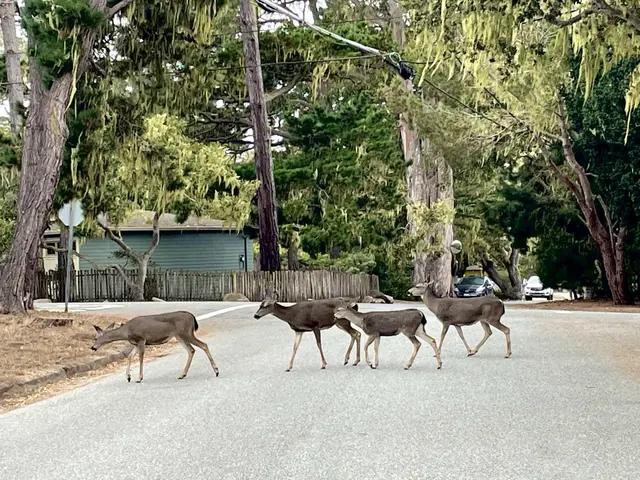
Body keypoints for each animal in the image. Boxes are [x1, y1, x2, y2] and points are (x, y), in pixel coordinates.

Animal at [91, 311, 219, 383]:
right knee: (191, 350)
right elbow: (130, 356)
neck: (126, 332)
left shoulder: (141, 339)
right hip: (179, 336)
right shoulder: (136, 343)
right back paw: (182, 375)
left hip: (186, 333)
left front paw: (139, 378)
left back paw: (216, 371)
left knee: (203, 345)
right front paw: (128, 377)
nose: (92, 347)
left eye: (95, 338)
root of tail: (192, 317)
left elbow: (141, 358)